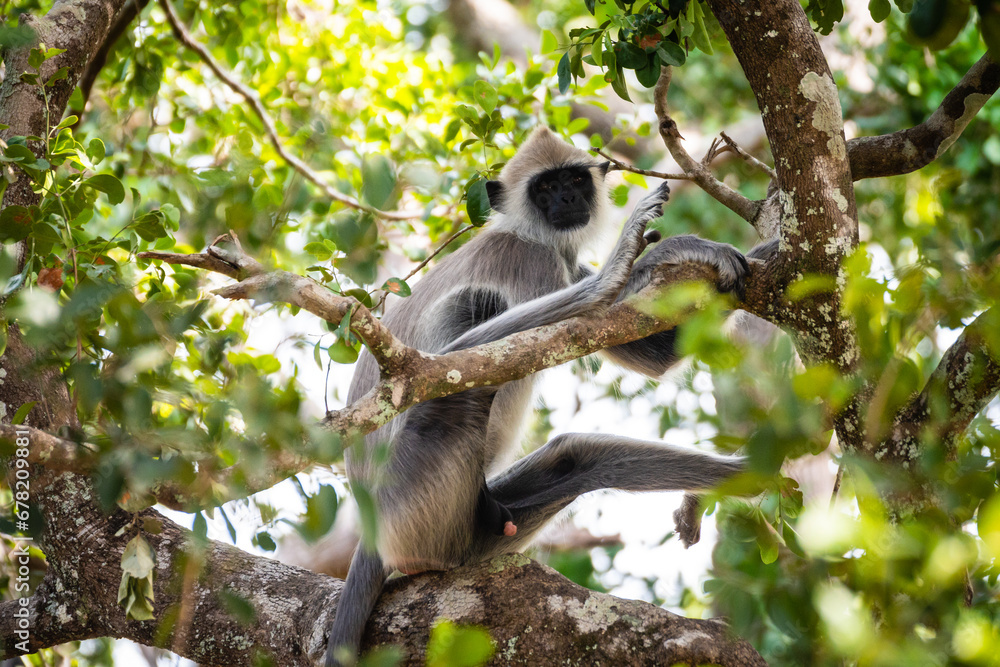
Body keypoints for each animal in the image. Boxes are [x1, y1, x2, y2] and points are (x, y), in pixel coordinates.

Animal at [323, 125, 766, 666]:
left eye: (574, 180)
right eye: (545, 188)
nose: (568, 200)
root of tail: (370, 532)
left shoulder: (565, 264)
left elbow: (654, 355)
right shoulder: (530, 259)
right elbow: (580, 316)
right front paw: (645, 254)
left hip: (474, 529)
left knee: (578, 457)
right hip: (414, 501)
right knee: (466, 351)